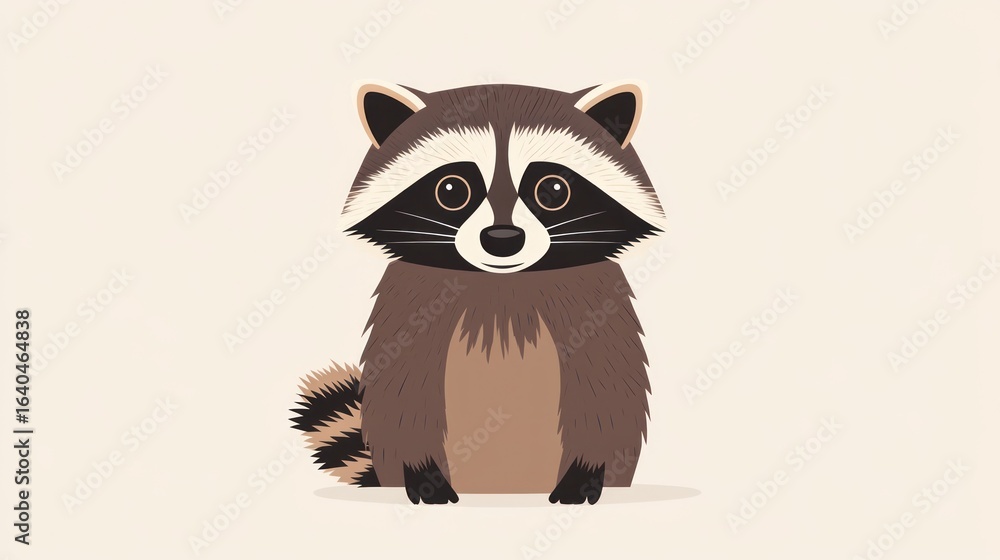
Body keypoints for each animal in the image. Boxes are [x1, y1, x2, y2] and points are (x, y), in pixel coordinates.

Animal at [291, 81, 665, 505]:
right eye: (452, 190)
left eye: (553, 189)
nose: (502, 239)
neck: (502, 282)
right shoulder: (409, 301)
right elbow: (402, 393)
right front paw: (421, 471)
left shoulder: (596, 302)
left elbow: (607, 392)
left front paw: (587, 471)